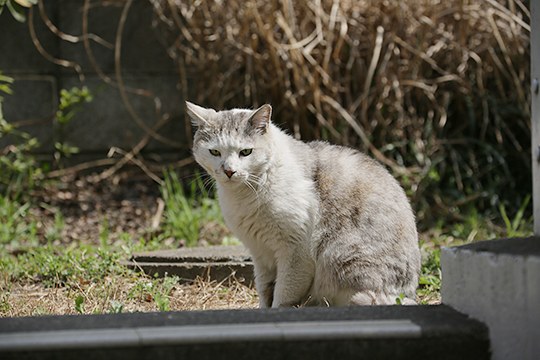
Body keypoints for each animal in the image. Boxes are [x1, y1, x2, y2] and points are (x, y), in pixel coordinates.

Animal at [187, 101, 422, 306]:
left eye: (246, 152)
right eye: (214, 152)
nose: (229, 171)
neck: (245, 194)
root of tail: (407, 293)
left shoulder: (295, 252)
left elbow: (282, 295)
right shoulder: (261, 254)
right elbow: (265, 291)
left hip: (342, 257)